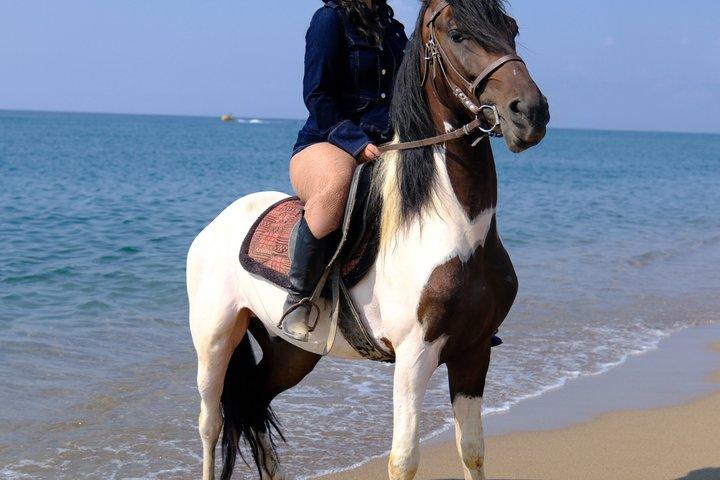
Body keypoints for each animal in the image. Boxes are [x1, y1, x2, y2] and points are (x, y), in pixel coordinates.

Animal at [187, 0, 550, 479]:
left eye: (512, 29)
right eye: (457, 34)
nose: (530, 112)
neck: (453, 229)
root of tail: (216, 224)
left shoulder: (474, 352)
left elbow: (471, 449)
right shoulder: (414, 357)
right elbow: (404, 460)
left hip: (292, 352)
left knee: (252, 401)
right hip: (214, 339)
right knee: (210, 424)